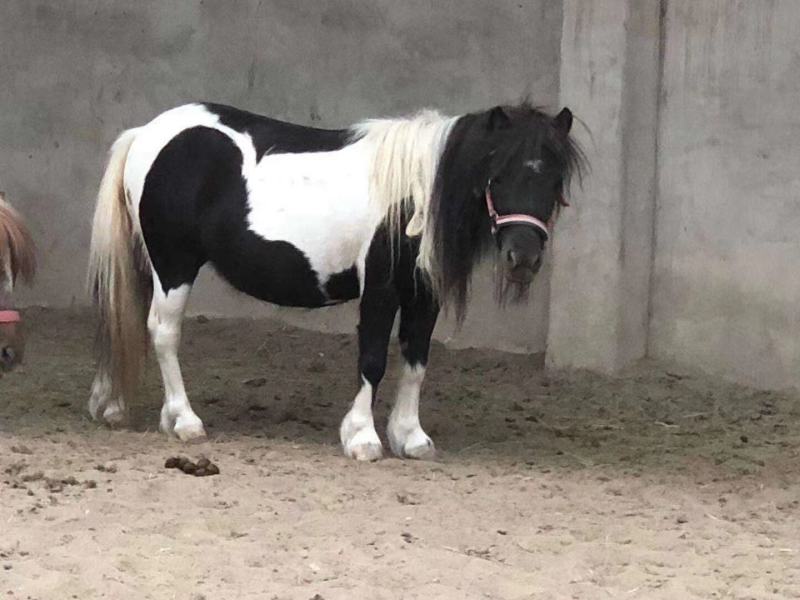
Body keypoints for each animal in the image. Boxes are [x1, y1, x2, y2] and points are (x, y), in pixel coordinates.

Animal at [87, 101, 583, 460]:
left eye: (554, 179)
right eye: (496, 173)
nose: (523, 257)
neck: (414, 194)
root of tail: (147, 133)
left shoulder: (423, 296)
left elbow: (416, 361)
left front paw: (410, 437)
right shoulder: (381, 290)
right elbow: (373, 360)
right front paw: (363, 438)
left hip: (150, 264)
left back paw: (134, 410)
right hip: (174, 266)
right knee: (164, 332)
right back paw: (186, 421)